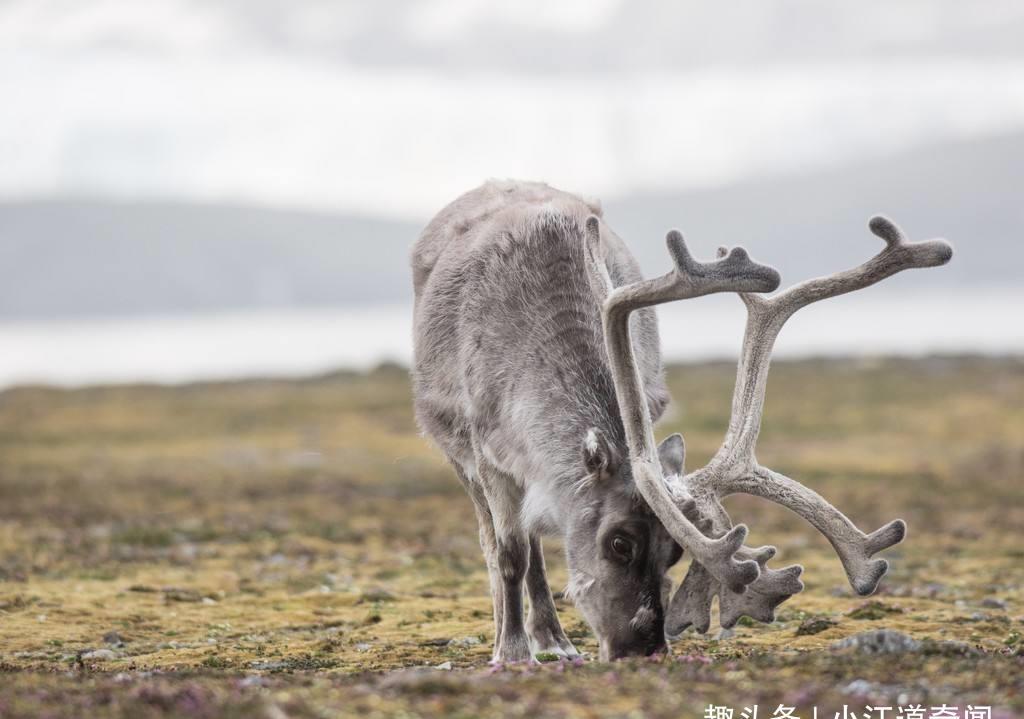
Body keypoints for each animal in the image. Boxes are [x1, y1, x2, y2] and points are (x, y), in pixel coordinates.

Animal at [411, 179, 952, 662]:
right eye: (619, 543)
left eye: (673, 552)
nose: (643, 649)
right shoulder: (489, 455)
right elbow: (511, 554)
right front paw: (511, 651)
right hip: (455, 451)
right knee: (508, 544)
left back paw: (554, 638)